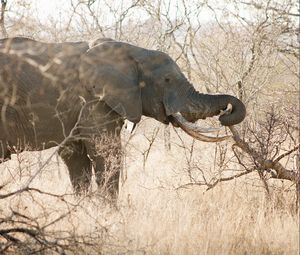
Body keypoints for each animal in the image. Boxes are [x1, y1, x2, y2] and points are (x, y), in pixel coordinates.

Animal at [0, 36, 245, 197]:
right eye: (167, 80)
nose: (226, 112)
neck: (134, 52)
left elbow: (76, 158)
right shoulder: (91, 100)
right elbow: (106, 154)